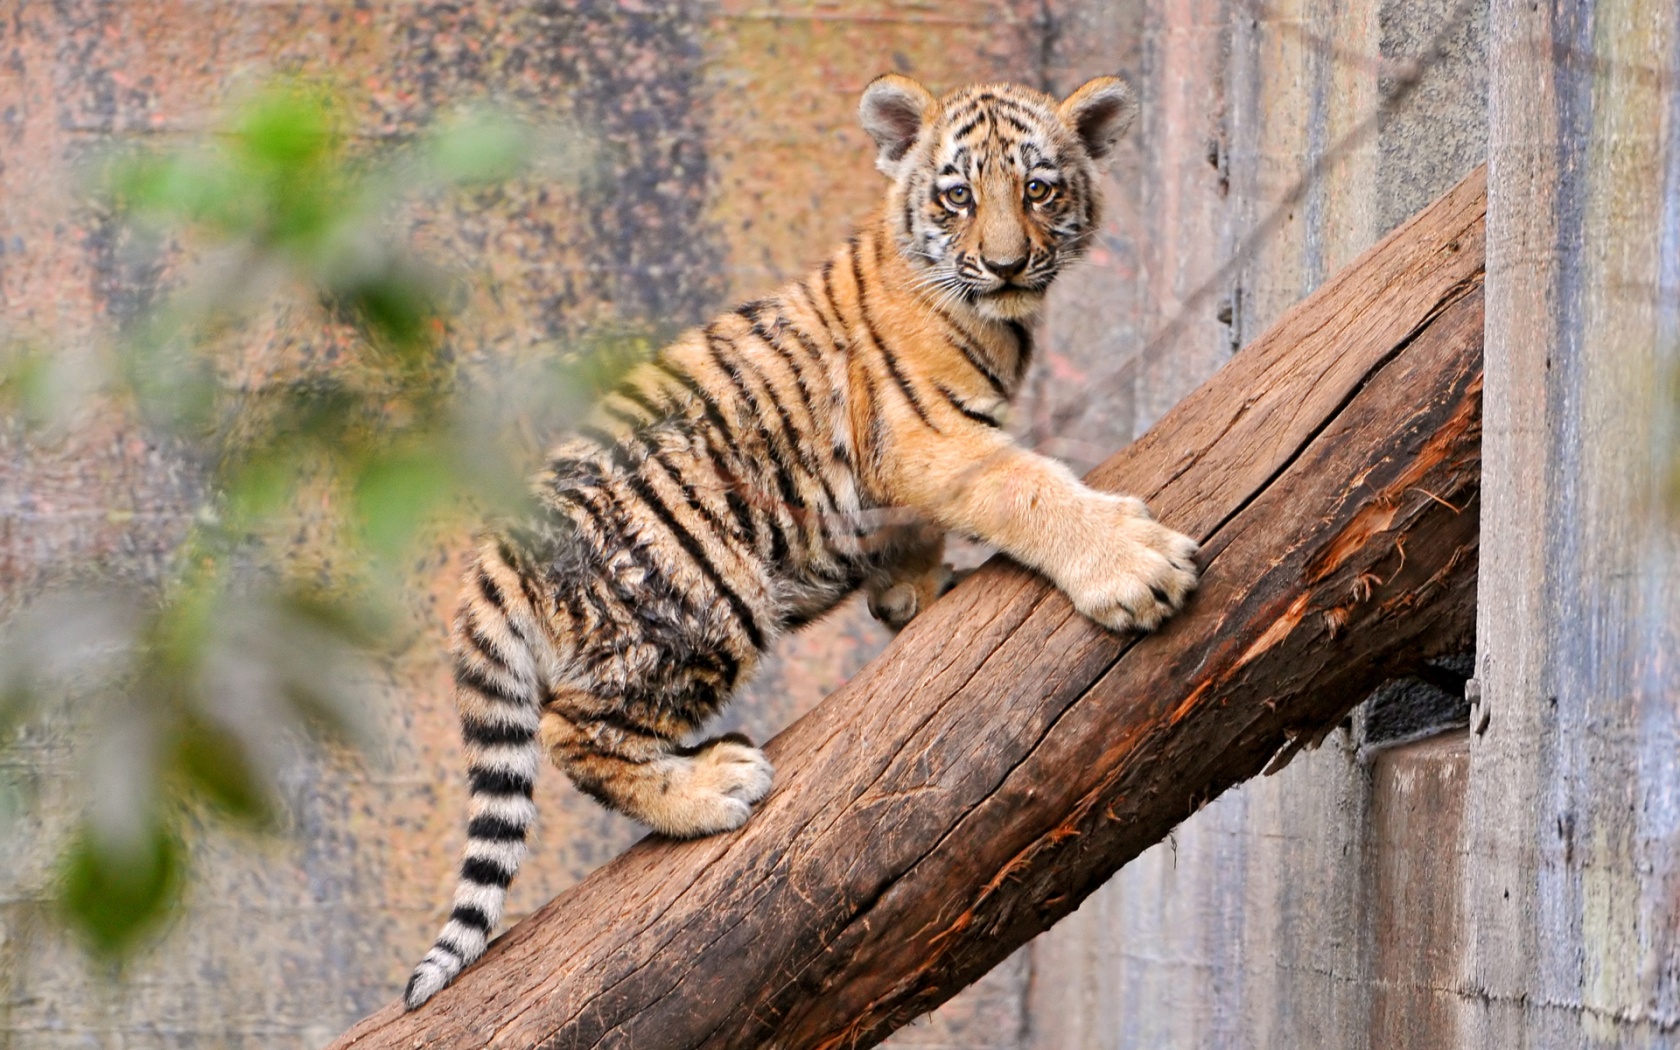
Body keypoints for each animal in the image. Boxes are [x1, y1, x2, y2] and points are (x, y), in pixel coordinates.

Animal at [403, 73, 1200, 1010]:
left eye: (1039, 190)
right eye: (957, 196)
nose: (1006, 264)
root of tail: (491, 558)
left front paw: (912, 592)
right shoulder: (928, 438)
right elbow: (1025, 486)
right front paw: (1136, 568)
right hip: (708, 590)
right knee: (573, 730)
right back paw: (713, 787)